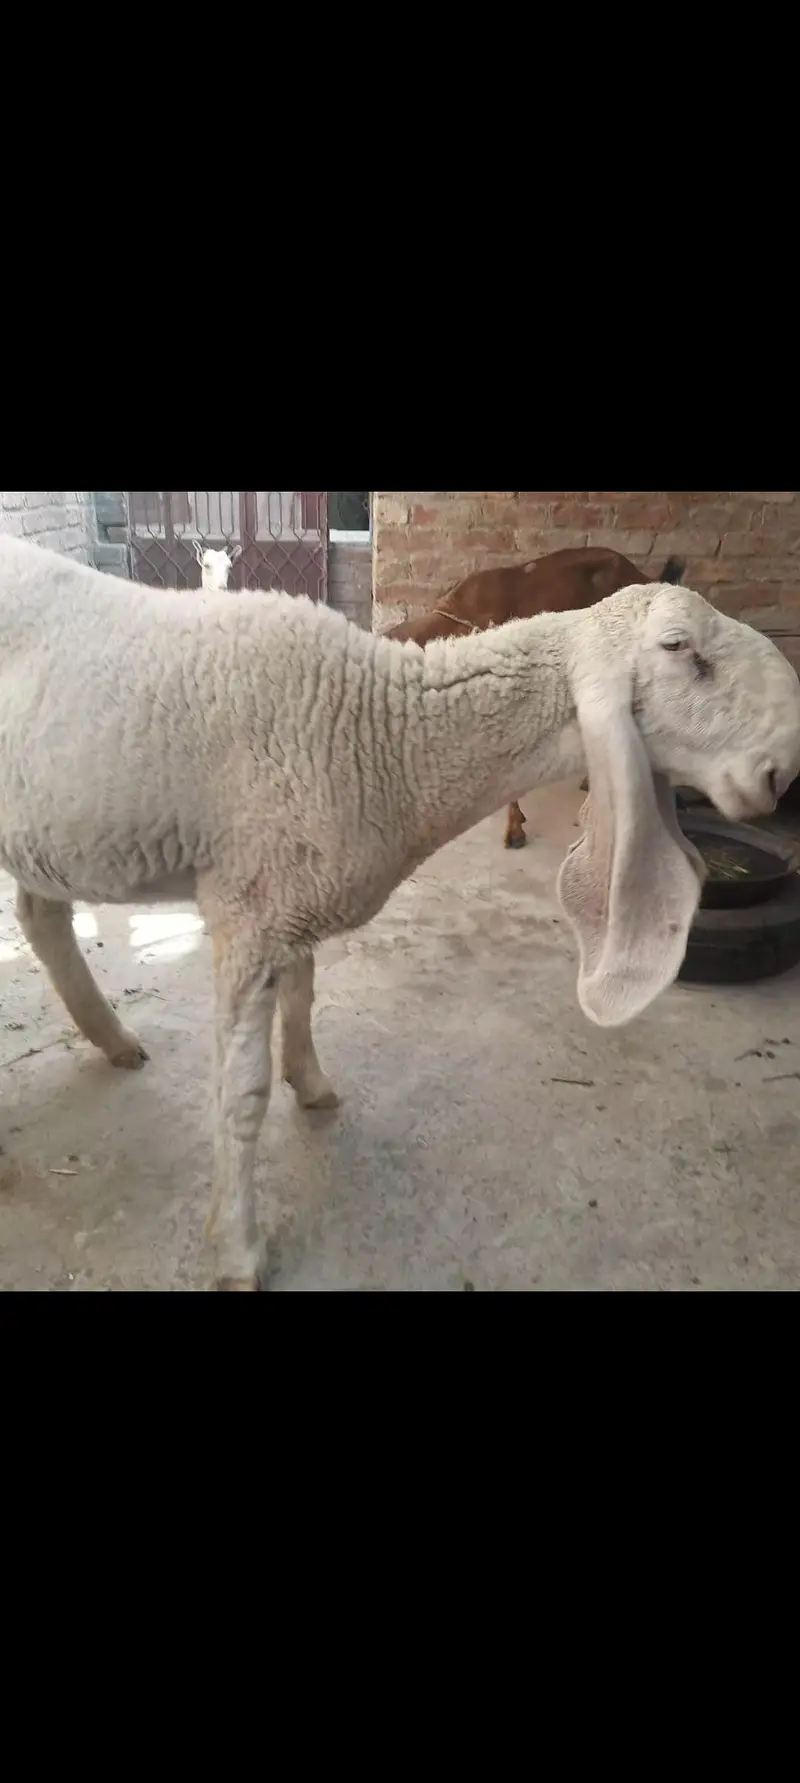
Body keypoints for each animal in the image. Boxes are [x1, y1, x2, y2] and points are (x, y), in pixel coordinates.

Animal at [1, 534, 799, 1291]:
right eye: (680, 649)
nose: (781, 770)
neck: (385, 731)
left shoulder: (289, 896)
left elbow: (303, 997)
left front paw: (312, 1084)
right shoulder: (249, 911)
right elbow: (241, 1096)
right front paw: (236, 1248)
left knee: (40, 914)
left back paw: (111, 1038)